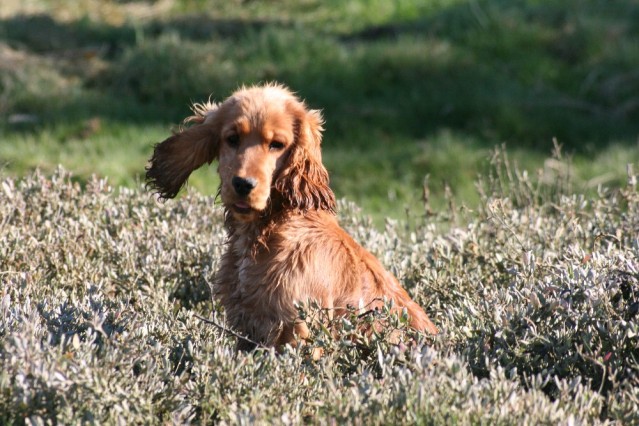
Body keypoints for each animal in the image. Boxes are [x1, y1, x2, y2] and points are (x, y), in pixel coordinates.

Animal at [147, 83, 438, 350]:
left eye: (277, 144)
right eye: (232, 138)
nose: (242, 184)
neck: (271, 226)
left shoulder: (296, 328)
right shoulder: (246, 325)